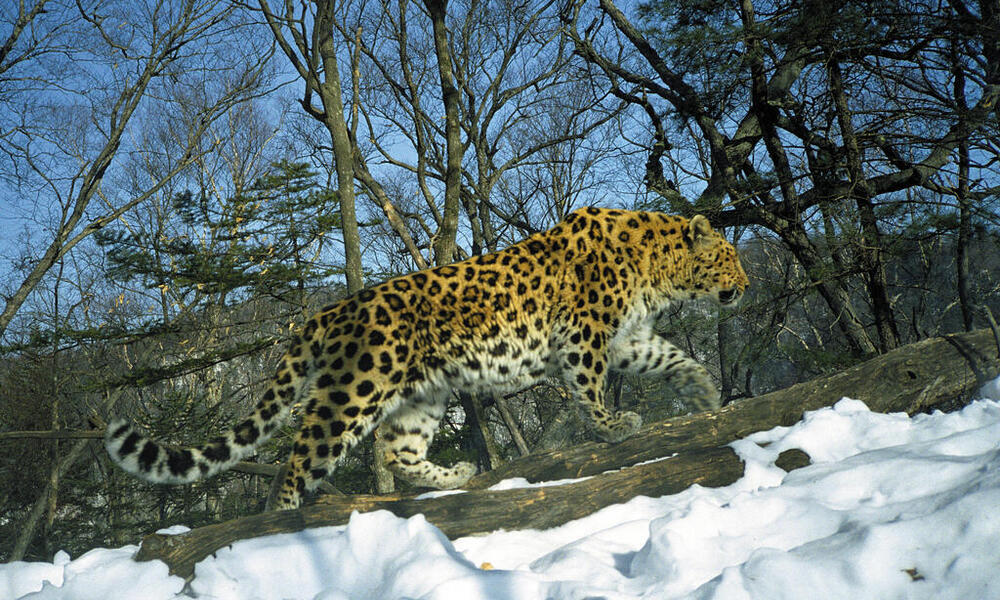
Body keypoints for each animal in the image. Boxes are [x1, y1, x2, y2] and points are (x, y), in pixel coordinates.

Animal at [107, 209, 752, 508]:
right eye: (728, 257)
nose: (745, 286)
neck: (658, 269)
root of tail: (329, 312)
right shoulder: (585, 335)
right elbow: (590, 389)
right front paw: (615, 427)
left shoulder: (625, 338)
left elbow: (670, 357)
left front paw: (702, 393)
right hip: (355, 390)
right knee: (299, 460)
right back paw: (279, 522)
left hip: (422, 395)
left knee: (399, 450)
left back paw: (457, 476)